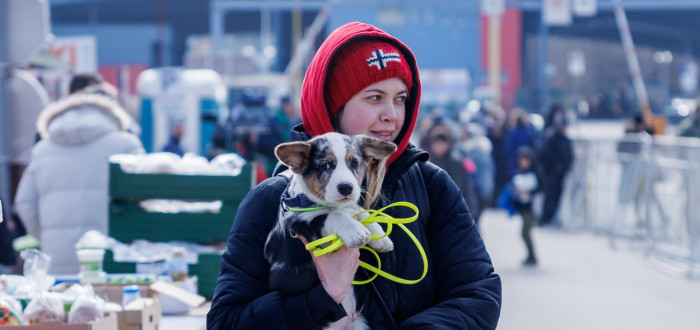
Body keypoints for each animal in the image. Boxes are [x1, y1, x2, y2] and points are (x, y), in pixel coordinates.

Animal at [264, 132, 396, 330]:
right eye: (325, 165)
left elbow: (359, 211)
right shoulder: (309, 231)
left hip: (360, 324)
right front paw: (357, 232)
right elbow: (335, 215)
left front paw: (380, 238)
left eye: (354, 163)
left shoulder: (350, 207)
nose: (346, 187)